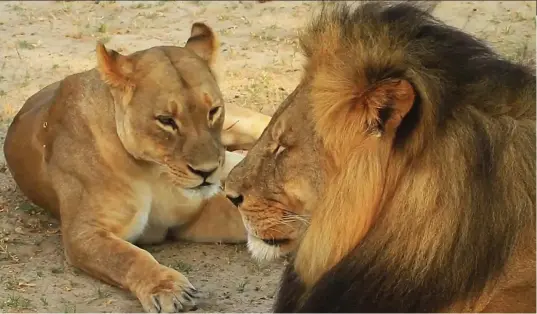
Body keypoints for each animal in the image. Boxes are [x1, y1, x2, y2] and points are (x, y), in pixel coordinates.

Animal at [3, 22, 270, 312]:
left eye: (213, 111)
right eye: (166, 120)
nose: (207, 171)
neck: (153, 172)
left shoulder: (196, 211)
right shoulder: (84, 233)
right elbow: (127, 257)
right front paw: (169, 290)